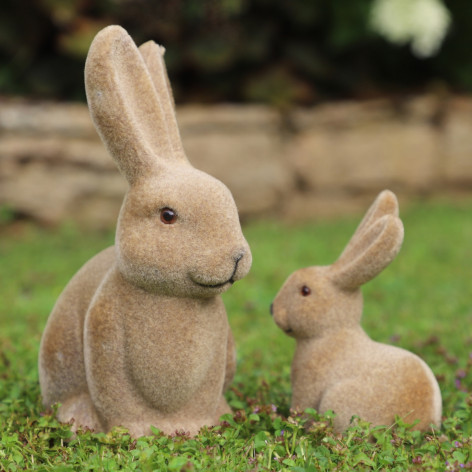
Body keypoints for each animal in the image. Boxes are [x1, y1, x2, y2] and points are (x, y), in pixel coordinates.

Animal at [39, 25, 253, 438]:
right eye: (167, 216)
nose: (237, 257)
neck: (170, 296)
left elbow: (202, 398)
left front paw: (203, 426)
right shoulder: (104, 335)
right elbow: (118, 398)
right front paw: (136, 432)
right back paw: (81, 417)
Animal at [272, 191, 440, 432]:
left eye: (305, 291)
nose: (272, 309)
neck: (332, 332)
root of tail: (416, 422)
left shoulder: (308, 385)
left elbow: (302, 408)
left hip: (336, 399)